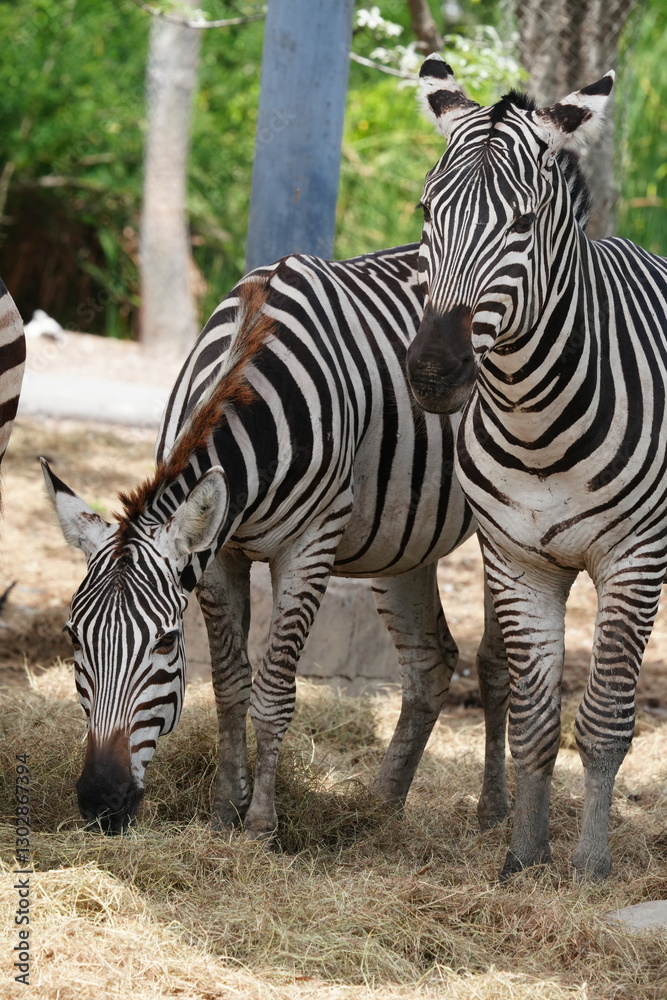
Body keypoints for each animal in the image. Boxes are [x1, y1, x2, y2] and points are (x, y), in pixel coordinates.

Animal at [41, 141, 590, 840]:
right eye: (72, 638)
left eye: (165, 642)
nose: (101, 802)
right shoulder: (217, 555)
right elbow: (230, 686)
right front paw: (222, 811)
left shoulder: (308, 546)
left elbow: (274, 690)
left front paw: (259, 824)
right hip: (404, 540)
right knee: (430, 663)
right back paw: (380, 807)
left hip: (506, 527)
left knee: (495, 665)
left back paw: (493, 812)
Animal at [406, 54, 667, 881]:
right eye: (425, 212)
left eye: (521, 225)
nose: (433, 373)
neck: (534, 423)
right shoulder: (518, 560)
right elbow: (533, 718)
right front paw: (522, 855)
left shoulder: (633, 558)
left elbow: (606, 718)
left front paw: (588, 866)